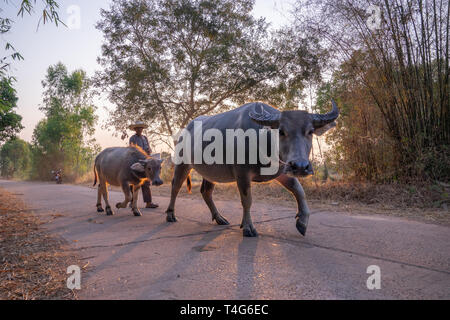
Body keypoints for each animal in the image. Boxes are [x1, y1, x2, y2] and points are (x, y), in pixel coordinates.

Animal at [165, 100, 338, 238]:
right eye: (281, 131)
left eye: (310, 131)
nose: (300, 166)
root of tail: (186, 129)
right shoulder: (242, 173)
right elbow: (247, 200)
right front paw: (248, 227)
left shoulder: (282, 169)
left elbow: (299, 191)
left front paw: (302, 222)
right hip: (182, 163)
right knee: (175, 186)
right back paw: (170, 215)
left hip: (211, 172)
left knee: (206, 192)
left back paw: (219, 218)